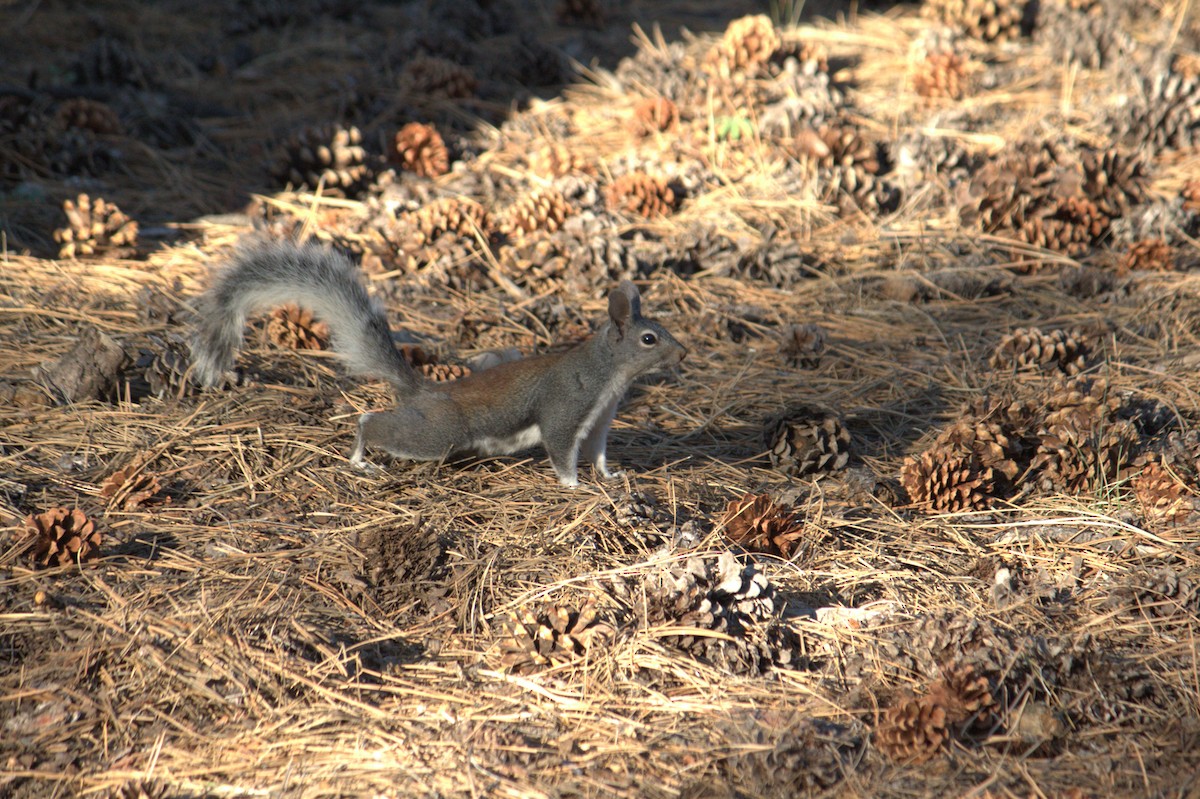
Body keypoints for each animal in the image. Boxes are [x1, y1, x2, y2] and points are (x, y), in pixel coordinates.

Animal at [190, 238, 687, 486]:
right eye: (648, 339)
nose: (682, 352)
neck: (609, 376)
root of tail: (424, 390)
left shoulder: (600, 419)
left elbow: (599, 452)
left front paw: (611, 476)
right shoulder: (566, 408)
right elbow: (562, 450)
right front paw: (575, 487)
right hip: (437, 434)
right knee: (373, 421)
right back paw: (361, 459)